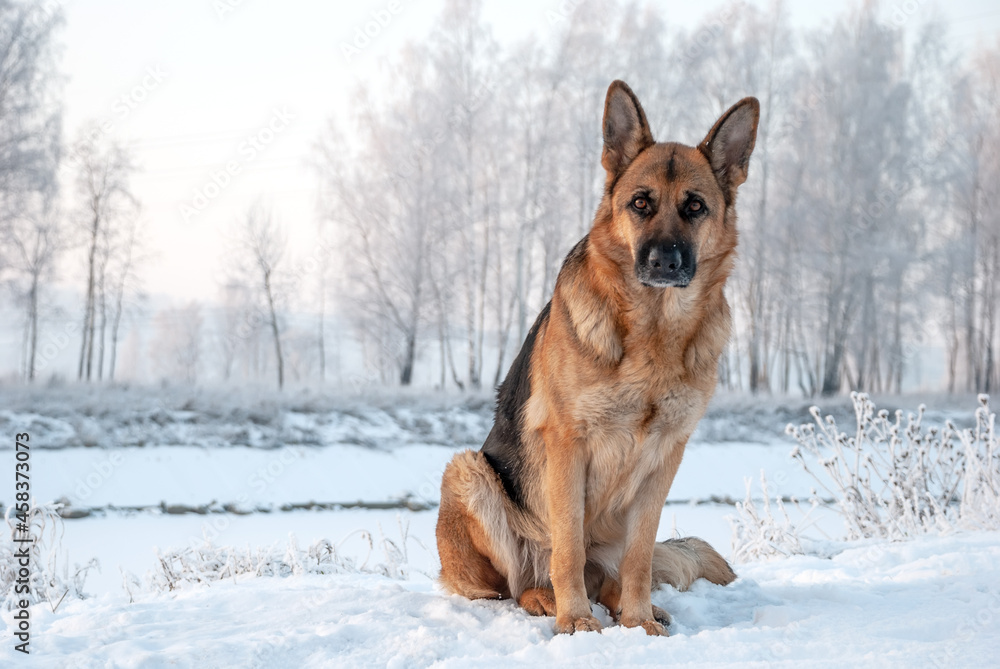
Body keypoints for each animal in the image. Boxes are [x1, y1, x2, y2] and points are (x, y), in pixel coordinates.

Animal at [436, 81, 756, 636]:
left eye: (695, 207)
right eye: (640, 203)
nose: (664, 261)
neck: (652, 332)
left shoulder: (666, 457)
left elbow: (640, 557)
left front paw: (639, 621)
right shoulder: (569, 445)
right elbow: (566, 546)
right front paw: (576, 622)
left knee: (610, 573)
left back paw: (636, 606)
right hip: (468, 473)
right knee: (518, 585)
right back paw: (548, 601)